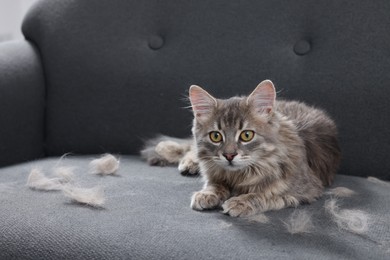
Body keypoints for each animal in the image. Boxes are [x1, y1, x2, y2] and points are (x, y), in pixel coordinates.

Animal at [142, 79, 340, 217]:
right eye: (216, 136)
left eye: (246, 135)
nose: (229, 155)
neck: (240, 175)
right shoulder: (215, 173)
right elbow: (214, 184)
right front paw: (206, 195)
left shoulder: (307, 189)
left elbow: (264, 194)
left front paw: (240, 202)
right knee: (190, 147)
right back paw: (174, 153)